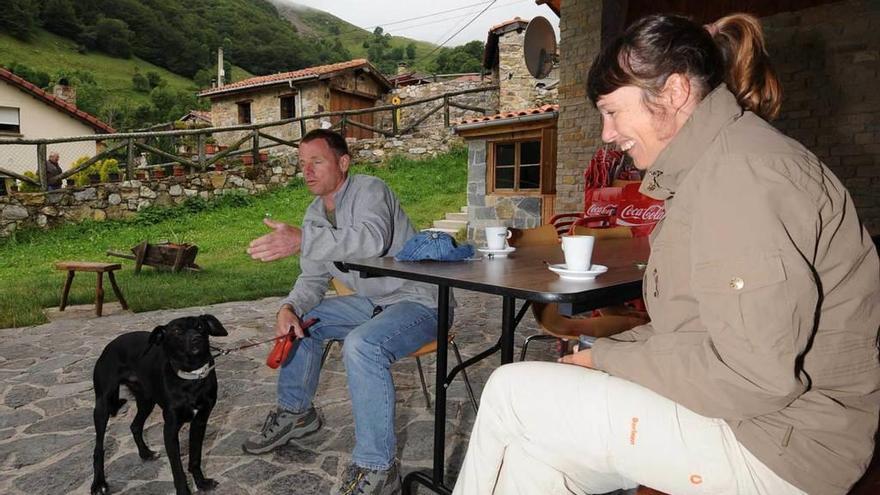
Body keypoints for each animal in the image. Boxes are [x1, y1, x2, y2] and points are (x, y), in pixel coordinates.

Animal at [91, 316, 229, 494]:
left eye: (200, 326)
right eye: (176, 331)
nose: (196, 339)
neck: (191, 378)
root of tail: (110, 345)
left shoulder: (200, 422)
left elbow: (195, 458)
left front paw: (201, 483)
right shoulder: (170, 429)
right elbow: (177, 469)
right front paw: (184, 491)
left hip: (146, 401)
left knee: (135, 426)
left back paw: (145, 453)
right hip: (103, 406)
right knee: (98, 448)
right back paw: (99, 484)